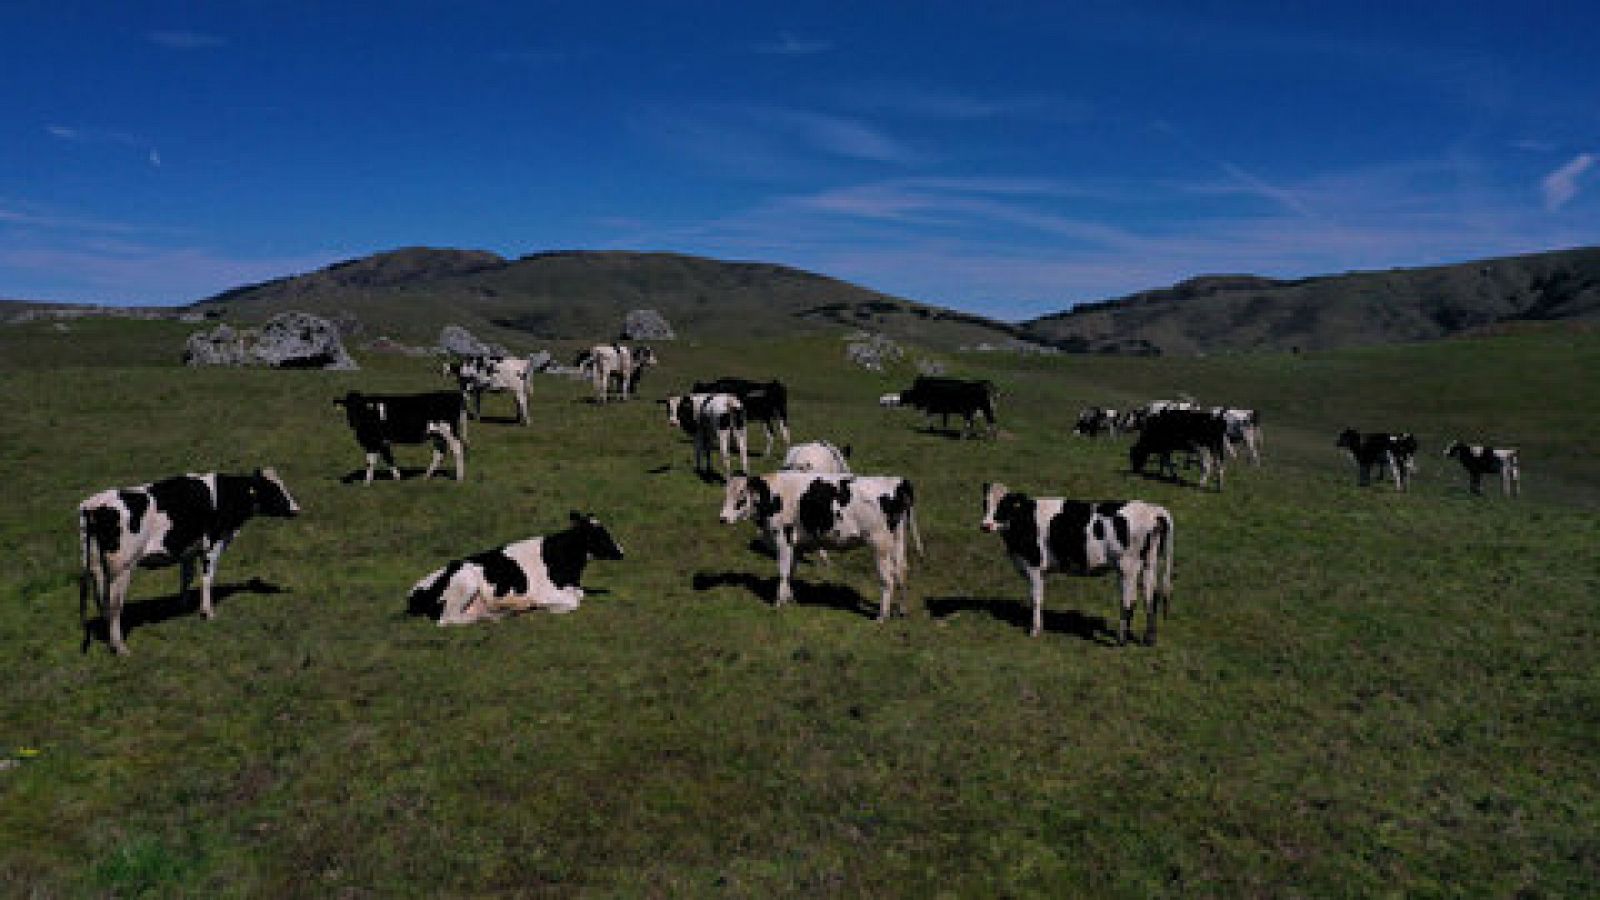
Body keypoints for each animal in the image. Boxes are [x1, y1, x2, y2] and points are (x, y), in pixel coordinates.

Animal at [78, 470, 302, 650]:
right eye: (274, 489)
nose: (296, 509)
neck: (226, 494)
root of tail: (94, 504)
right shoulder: (213, 544)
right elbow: (207, 578)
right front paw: (208, 612)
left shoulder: (189, 550)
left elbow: (186, 577)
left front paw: (183, 606)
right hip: (122, 567)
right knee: (115, 605)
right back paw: (120, 647)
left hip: (96, 565)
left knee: (102, 599)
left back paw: (107, 635)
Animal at [334, 387, 467, 483]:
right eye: (348, 407)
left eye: (360, 407)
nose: (353, 421)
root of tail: (454, 394)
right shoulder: (382, 442)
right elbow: (388, 458)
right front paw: (398, 477)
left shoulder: (373, 440)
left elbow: (370, 461)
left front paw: (366, 482)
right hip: (437, 434)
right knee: (439, 453)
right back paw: (426, 476)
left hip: (447, 430)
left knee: (457, 448)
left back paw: (459, 478)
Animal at [406, 509, 624, 627]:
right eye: (600, 535)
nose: (621, 552)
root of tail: (413, 594)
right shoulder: (545, 592)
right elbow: (573, 602)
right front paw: (545, 607)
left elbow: (580, 595)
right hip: (465, 581)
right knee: (447, 619)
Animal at [716, 470, 921, 614]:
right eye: (725, 493)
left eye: (741, 496)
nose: (722, 519)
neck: (774, 495)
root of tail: (896, 481)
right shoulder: (796, 544)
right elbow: (791, 572)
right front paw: (790, 599)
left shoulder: (783, 538)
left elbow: (783, 572)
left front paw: (779, 603)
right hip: (897, 542)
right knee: (902, 571)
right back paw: (902, 610)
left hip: (879, 545)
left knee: (888, 579)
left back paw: (881, 617)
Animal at [972, 480, 1177, 640]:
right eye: (985, 503)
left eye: (1004, 505)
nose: (985, 526)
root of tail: (1151, 509)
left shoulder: (1034, 565)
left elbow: (1035, 599)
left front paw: (1034, 631)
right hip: (1149, 563)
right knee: (1150, 596)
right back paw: (1149, 639)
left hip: (1128, 566)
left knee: (1129, 600)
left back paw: (1121, 639)